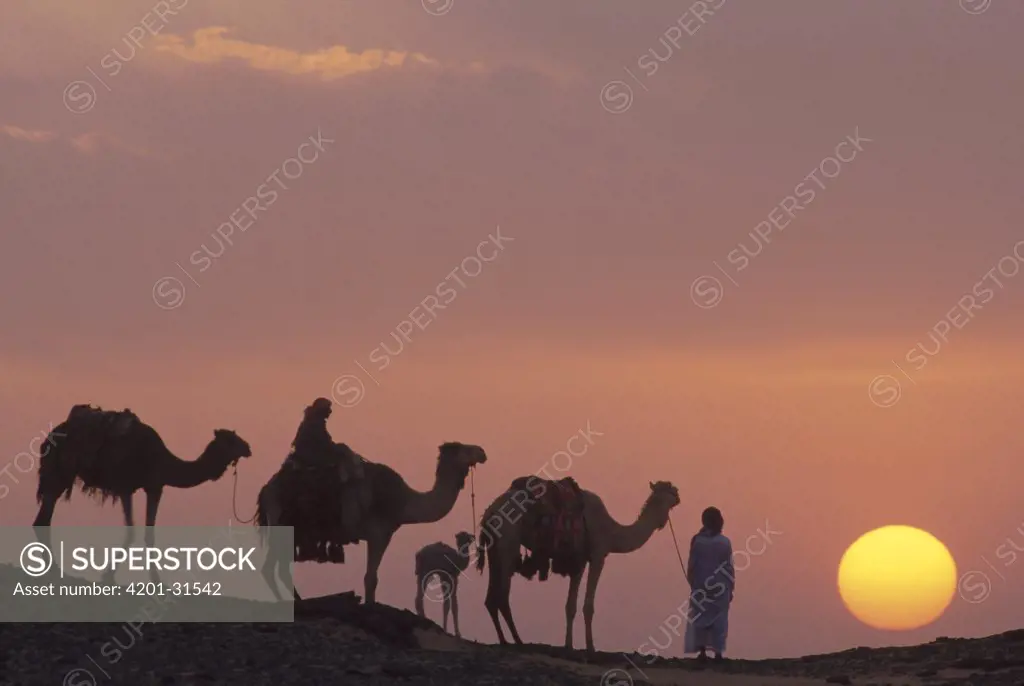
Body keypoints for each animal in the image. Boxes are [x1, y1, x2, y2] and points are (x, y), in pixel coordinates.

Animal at [258, 444, 485, 606]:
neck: (403, 502)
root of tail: (267, 489)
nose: (482, 452)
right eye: (464, 448)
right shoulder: (379, 535)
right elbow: (371, 578)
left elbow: (371, 577)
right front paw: (369, 605)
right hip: (282, 526)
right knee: (272, 567)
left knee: (276, 568)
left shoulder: (381, 536)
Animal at [477, 481, 679, 651]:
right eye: (671, 491)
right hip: (507, 542)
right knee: (502, 596)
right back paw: (518, 641)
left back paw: (504, 640)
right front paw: (590, 647)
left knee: (490, 598)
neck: (612, 532)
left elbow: (570, 606)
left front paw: (569, 645)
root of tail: (489, 512)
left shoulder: (579, 561)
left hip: (494, 547)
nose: (678, 496)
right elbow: (588, 606)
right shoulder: (598, 555)